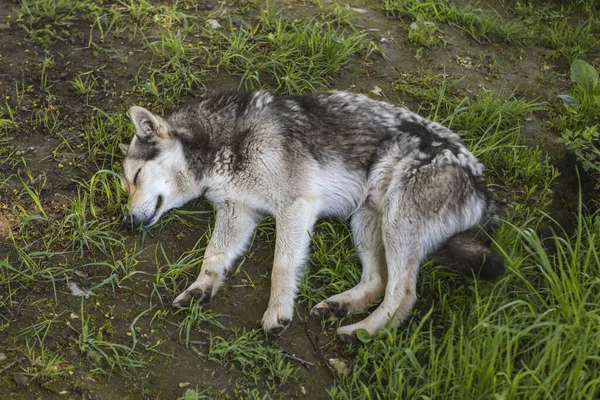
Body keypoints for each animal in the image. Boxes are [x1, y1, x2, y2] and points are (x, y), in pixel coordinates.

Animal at [119, 90, 504, 340]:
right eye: (126, 185)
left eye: (134, 178)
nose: (125, 222)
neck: (225, 143)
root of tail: (482, 188)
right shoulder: (237, 211)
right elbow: (212, 256)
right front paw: (200, 288)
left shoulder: (295, 207)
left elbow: (281, 267)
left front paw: (277, 312)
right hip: (366, 223)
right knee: (378, 280)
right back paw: (340, 307)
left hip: (397, 225)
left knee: (402, 294)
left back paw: (361, 332)